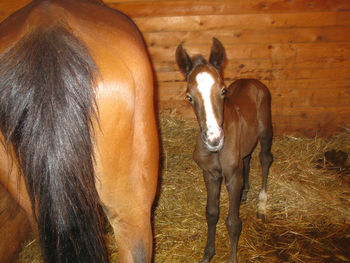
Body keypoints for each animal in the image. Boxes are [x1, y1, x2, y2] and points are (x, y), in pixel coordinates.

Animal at [175, 38, 274, 262]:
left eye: (223, 91)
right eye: (189, 97)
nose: (214, 139)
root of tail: (253, 81)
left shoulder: (232, 176)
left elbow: (233, 223)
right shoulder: (210, 174)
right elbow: (212, 213)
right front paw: (207, 254)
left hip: (266, 132)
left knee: (265, 158)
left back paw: (262, 205)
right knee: (247, 158)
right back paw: (245, 194)